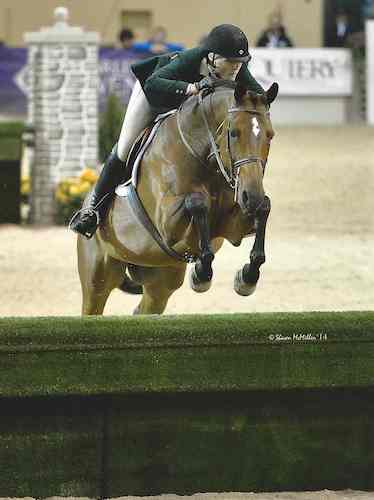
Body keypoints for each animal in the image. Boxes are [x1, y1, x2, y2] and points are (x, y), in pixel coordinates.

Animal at [76, 81, 278, 316]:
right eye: (235, 133)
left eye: (270, 135)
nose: (251, 197)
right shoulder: (167, 225)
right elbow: (197, 204)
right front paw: (200, 274)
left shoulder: (233, 226)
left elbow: (265, 208)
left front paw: (246, 278)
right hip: (98, 277)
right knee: (93, 304)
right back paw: (87, 218)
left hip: (161, 280)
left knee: (144, 309)